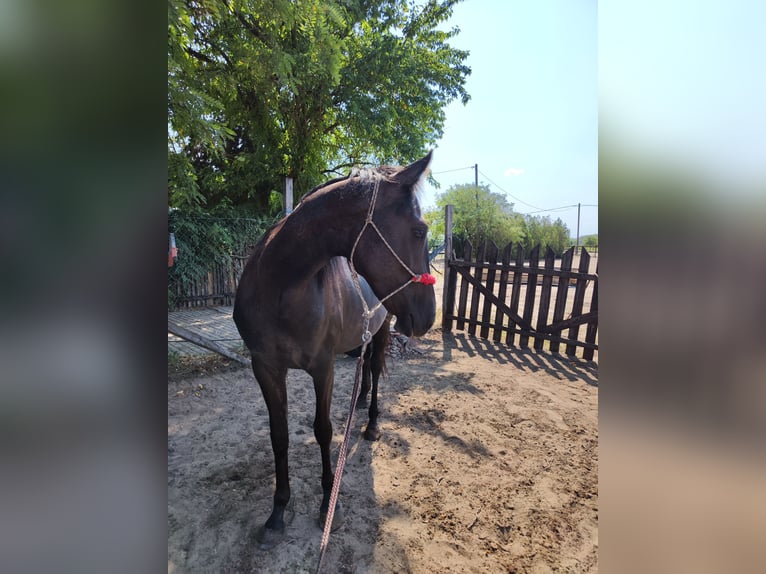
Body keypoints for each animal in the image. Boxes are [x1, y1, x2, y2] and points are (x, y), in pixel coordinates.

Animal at [232, 152, 436, 547]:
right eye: (419, 231)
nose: (429, 316)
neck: (281, 286)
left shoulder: (322, 367)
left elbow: (323, 430)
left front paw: (329, 502)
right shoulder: (264, 368)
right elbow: (279, 435)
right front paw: (278, 512)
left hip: (382, 330)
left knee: (374, 370)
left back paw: (371, 424)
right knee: (366, 371)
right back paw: (361, 399)